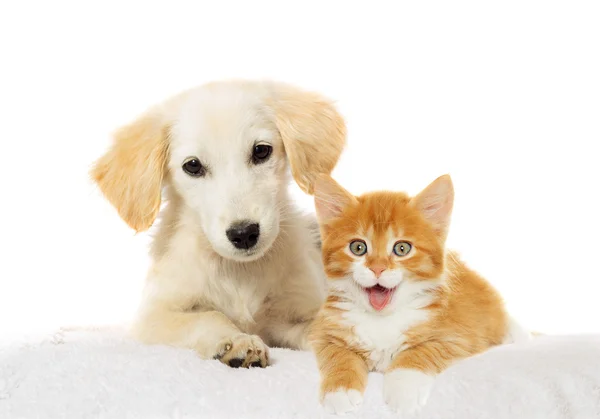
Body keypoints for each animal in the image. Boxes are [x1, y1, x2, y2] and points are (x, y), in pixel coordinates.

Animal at [92, 80, 346, 370]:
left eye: (261, 151)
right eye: (192, 166)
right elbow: (208, 316)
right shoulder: (152, 316)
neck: (239, 272)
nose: (244, 233)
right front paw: (236, 341)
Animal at [310, 175, 528, 416]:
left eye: (402, 249)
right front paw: (340, 390)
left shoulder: (456, 336)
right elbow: (338, 354)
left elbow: (418, 353)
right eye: (358, 247)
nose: (377, 269)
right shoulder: (322, 331)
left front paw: (403, 391)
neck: (382, 319)